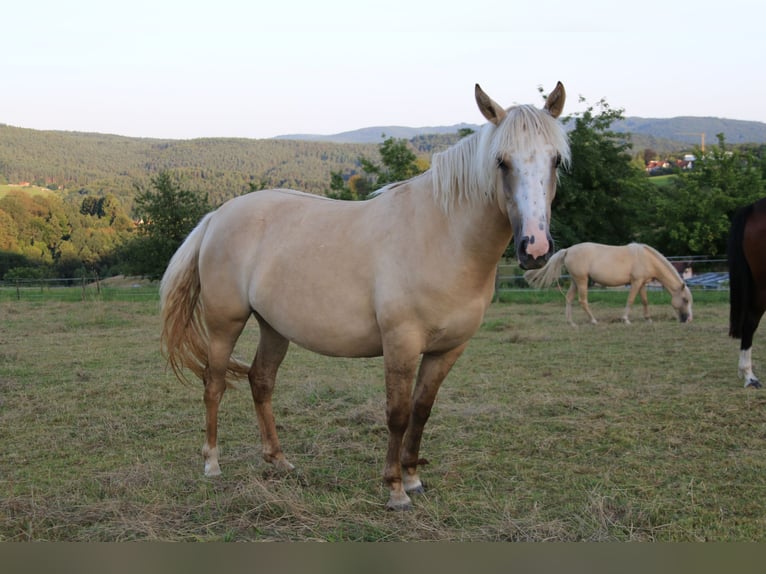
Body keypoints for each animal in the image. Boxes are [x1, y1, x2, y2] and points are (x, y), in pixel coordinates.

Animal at [160, 82, 568, 512]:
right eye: (501, 162)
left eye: (555, 160)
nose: (535, 248)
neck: (443, 236)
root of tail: (216, 217)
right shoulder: (401, 343)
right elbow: (398, 413)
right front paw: (395, 489)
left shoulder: (447, 349)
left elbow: (422, 410)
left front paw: (414, 478)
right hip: (226, 322)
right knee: (214, 384)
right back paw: (212, 465)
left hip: (273, 327)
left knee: (261, 381)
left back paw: (279, 460)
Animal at [528, 241, 696, 326]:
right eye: (685, 300)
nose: (688, 319)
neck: (646, 258)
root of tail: (568, 250)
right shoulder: (635, 282)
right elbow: (631, 300)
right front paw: (626, 319)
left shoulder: (642, 283)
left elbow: (644, 301)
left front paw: (648, 319)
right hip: (582, 280)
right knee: (583, 301)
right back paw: (593, 321)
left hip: (575, 281)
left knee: (569, 298)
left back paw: (571, 322)